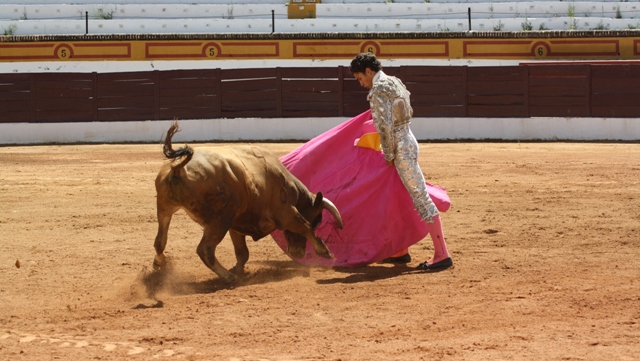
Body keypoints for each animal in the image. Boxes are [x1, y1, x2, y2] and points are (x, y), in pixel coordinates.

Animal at [152, 123, 342, 282]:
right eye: (316, 220)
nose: (298, 252)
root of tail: (178, 169)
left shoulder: (236, 225)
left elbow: (242, 253)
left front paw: (238, 269)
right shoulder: (286, 213)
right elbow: (304, 226)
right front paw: (325, 252)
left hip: (165, 209)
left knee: (160, 241)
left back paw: (160, 264)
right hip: (219, 221)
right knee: (205, 250)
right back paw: (229, 277)